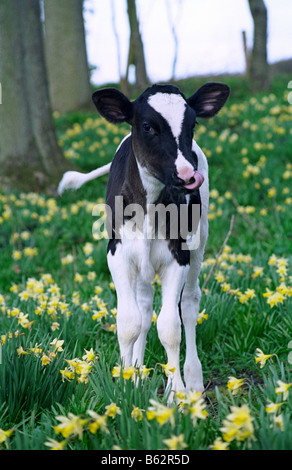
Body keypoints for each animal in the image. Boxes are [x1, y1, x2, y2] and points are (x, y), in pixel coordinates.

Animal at [58, 82, 229, 398]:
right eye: (148, 126)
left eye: (193, 124)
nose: (188, 175)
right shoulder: (117, 254)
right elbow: (129, 322)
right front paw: (126, 385)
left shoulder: (179, 256)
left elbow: (170, 327)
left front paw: (177, 394)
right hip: (141, 264)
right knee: (144, 305)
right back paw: (136, 371)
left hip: (201, 238)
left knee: (189, 303)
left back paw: (194, 381)